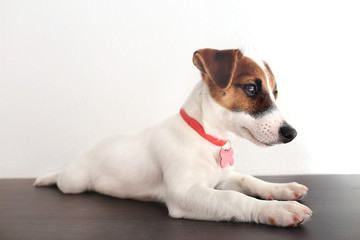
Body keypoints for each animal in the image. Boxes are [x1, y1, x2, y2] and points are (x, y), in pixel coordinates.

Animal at [34, 48, 312, 227]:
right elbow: (235, 198)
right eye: (251, 88)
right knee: (61, 179)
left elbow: (249, 180)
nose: (291, 133)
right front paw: (278, 209)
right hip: (74, 182)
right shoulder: (184, 194)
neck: (208, 138)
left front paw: (282, 189)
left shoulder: (223, 178)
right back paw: (47, 177)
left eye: (275, 92)